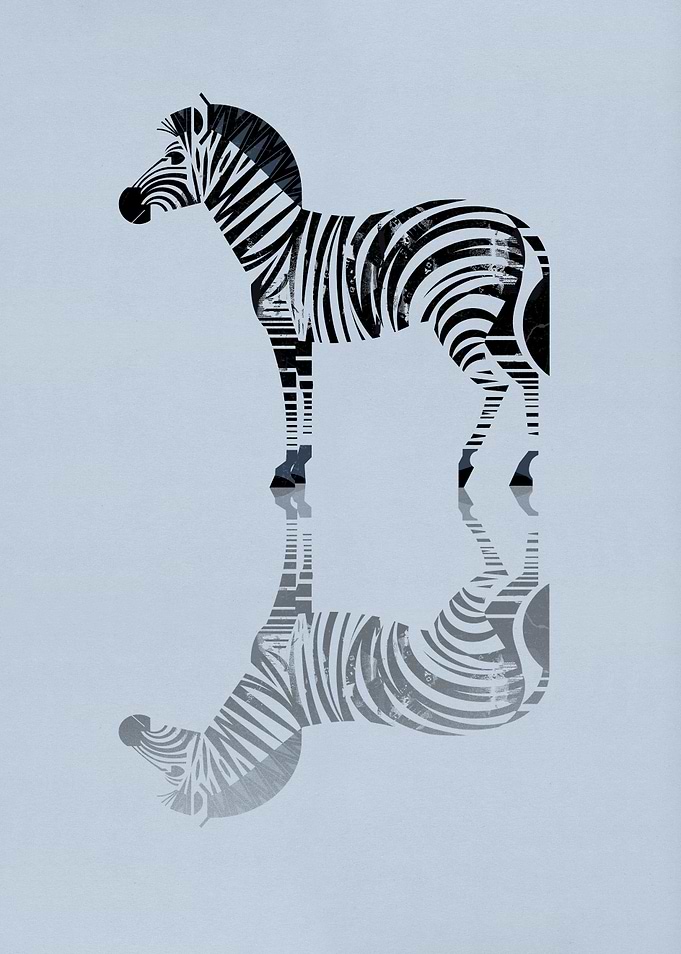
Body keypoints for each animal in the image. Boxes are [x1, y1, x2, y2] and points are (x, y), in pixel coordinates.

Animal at [119, 96, 550, 490]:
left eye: (175, 157)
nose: (124, 204)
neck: (277, 240)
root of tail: (508, 218)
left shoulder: (281, 331)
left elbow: (290, 396)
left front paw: (283, 471)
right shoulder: (302, 335)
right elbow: (306, 392)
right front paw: (300, 466)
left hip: (461, 316)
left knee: (496, 384)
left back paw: (465, 464)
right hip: (498, 323)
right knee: (529, 379)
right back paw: (524, 468)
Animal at [119, 487, 549, 824]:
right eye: (174, 770)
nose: (128, 727)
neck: (280, 705)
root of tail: (508, 709)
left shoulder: (284, 625)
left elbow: (297, 555)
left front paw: (293, 485)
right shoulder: (284, 624)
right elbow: (298, 558)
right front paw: (296, 494)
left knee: (513, 581)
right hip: (470, 608)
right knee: (507, 575)